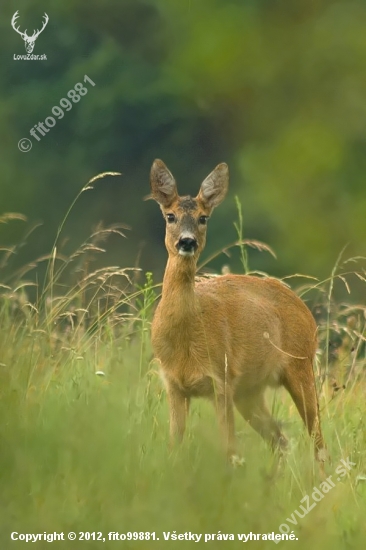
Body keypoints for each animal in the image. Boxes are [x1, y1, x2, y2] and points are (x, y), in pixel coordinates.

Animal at [149, 160, 326, 466]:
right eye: (170, 216)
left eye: (203, 218)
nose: (187, 242)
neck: (186, 337)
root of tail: (304, 308)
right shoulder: (173, 384)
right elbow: (174, 446)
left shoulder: (222, 379)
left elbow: (228, 449)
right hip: (250, 391)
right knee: (280, 439)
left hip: (300, 364)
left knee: (317, 439)